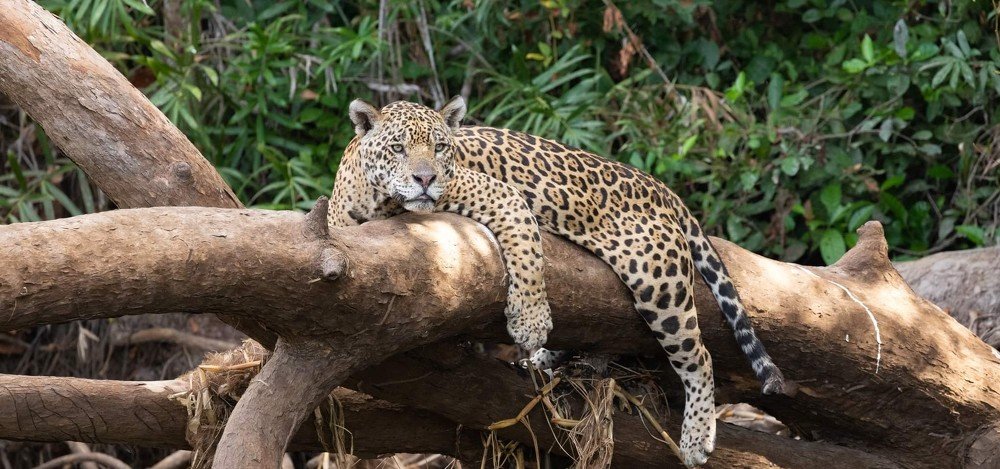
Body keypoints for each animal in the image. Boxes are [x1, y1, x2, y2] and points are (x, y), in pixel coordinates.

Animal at [328, 96, 785, 467]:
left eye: (439, 147)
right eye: (398, 148)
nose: (425, 179)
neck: (380, 201)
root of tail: (661, 187)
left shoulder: (501, 196)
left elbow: (526, 251)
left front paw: (530, 322)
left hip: (658, 278)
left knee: (699, 356)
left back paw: (696, 438)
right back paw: (544, 361)